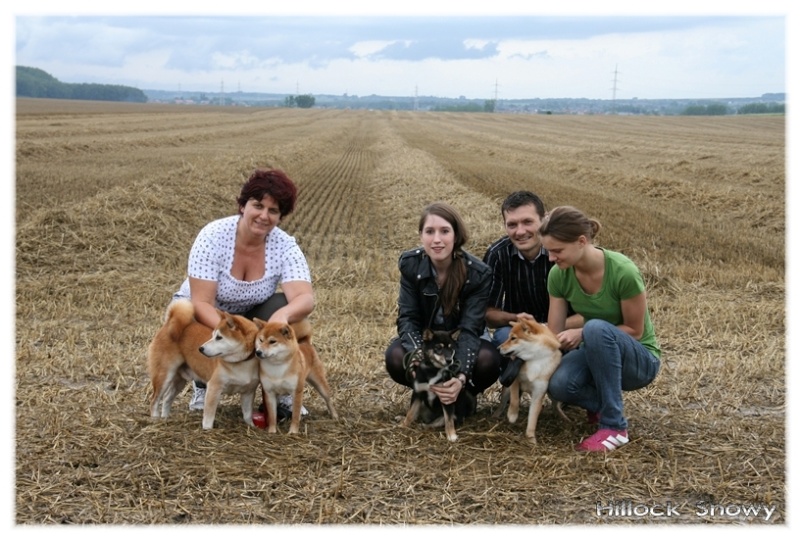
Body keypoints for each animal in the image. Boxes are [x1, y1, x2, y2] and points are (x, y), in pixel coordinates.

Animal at [148, 300, 260, 430]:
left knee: (167, 398)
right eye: (213, 335)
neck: (241, 363)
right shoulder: (214, 388)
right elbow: (208, 417)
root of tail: (168, 323)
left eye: (219, 337)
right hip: (164, 376)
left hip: (179, 381)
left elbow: (247, 414)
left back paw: (165, 418)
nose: (200, 349)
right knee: (154, 400)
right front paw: (207, 430)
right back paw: (155, 419)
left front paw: (251, 426)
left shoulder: (248, 392)